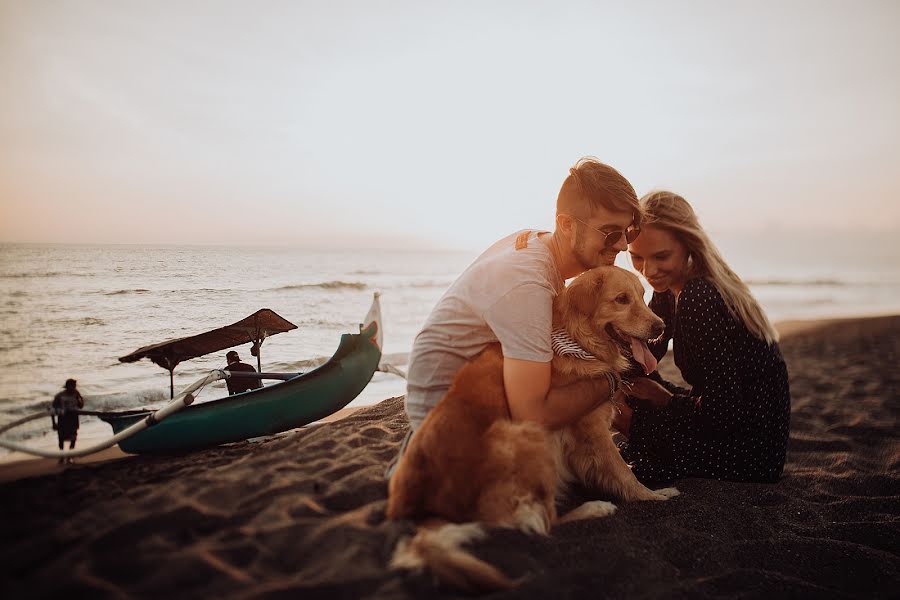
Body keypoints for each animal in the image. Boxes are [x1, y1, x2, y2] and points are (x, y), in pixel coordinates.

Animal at [390, 266, 680, 592]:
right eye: (621, 299)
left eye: (642, 296)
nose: (660, 326)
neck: (577, 340)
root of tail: (424, 514)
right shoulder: (590, 429)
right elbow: (621, 472)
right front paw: (652, 495)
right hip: (526, 434)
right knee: (546, 522)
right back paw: (595, 508)